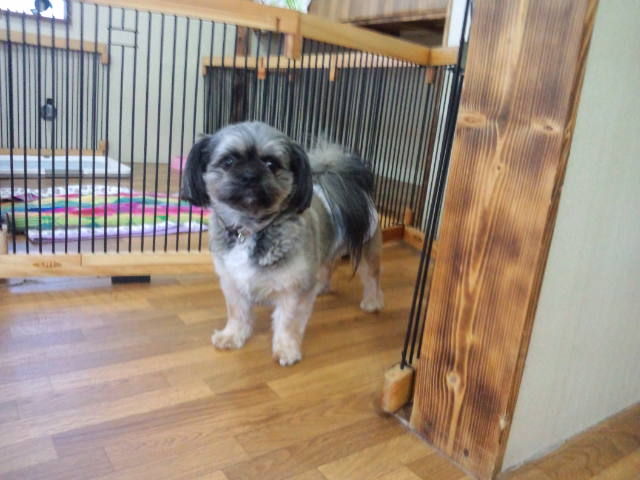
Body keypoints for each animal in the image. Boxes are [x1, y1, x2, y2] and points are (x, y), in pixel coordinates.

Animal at [181, 122, 384, 366]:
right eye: (228, 161)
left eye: (271, 164)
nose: (250, 175)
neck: (249, 229)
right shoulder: (232, 282)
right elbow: (237, 313)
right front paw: (232, 336)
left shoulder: (294, 289)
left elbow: (288, 323)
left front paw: (286, 349)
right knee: (328, 267)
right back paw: (322, 287)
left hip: (367, 249)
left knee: (371, 277)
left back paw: (372, 302)